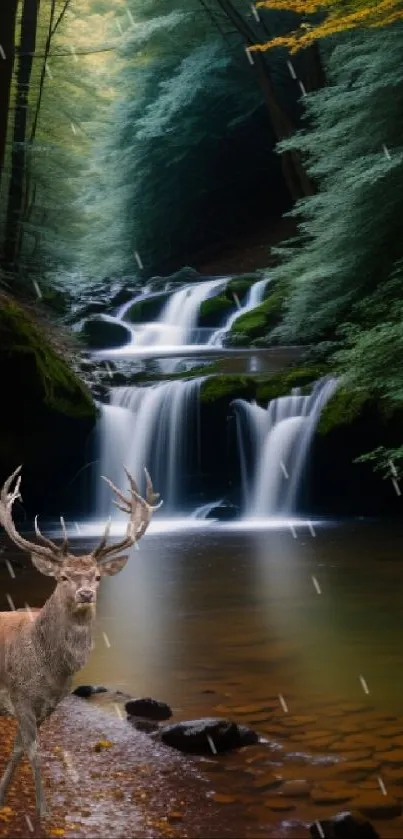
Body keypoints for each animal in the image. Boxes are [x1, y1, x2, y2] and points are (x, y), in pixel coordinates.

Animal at [0, 462, 161, 816]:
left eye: (97, 576)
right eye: (63, 577)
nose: (85, 593)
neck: (50, 668)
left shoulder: (49, 703)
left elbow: (18, 747)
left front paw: (2, 794)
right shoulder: (19, 694)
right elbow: (33, 749)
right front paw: (43, 812)